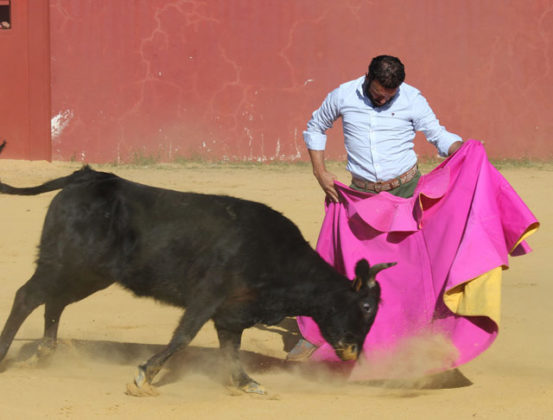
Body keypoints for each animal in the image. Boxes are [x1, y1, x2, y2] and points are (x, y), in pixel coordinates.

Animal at [1, 167, 396, 394]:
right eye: (365, 306)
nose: (353, 352)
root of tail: (90, 176)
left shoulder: (232, 313)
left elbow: (230, 350)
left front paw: (245, 383)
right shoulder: (208, 296)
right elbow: (184, 335)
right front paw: (146, 374)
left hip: (88, 274)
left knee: (54, 301)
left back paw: (46, 354)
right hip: (63, 262)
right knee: (27, 296)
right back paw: (7, 355)